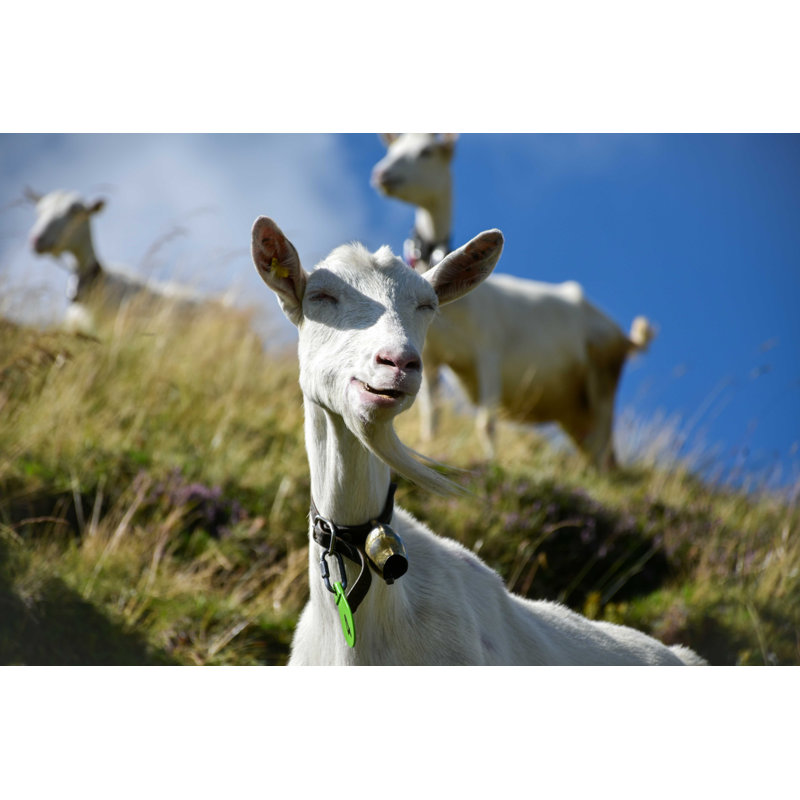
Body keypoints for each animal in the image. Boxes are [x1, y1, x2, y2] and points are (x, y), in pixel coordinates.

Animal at [371, 133, 655, 469]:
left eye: (426, 151)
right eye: (392, 148)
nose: (381, 175)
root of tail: (625, 338)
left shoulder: (489, 351)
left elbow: (487, 423)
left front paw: (491, 464)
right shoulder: (432, 356)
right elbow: (432, 414)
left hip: (603, 384)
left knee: (602, 447)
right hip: (575, 410)